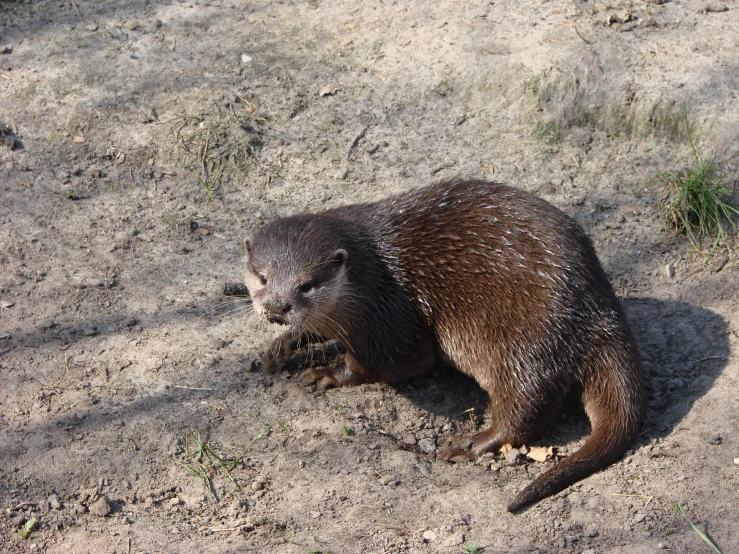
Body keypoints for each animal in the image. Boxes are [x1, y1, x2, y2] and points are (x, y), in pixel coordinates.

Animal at [243, 179, 640, 512]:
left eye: (307, 284)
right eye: (262, 277)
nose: (278, 306)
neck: (372, 275)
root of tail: (599, 313)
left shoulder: (391, 315)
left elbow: (392, 362)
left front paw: (326, 372)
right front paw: (281, 348)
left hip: (525, 341)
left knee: (527, 407)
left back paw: (468, 444)